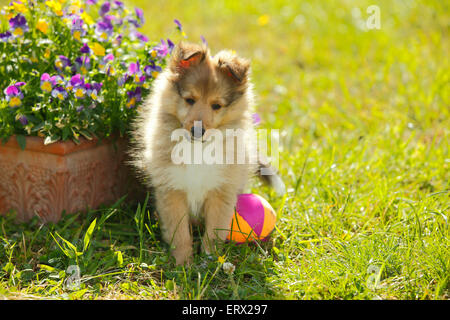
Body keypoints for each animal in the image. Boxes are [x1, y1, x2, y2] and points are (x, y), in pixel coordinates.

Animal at [131, 41, 284, 264]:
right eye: (189, 100)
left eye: (216, 105)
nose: (197, 131)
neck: (198, 148)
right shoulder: (172, 191)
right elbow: (180, 233)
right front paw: (183, 263)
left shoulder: (221, 192)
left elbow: (214, 231)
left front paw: (209, 260)